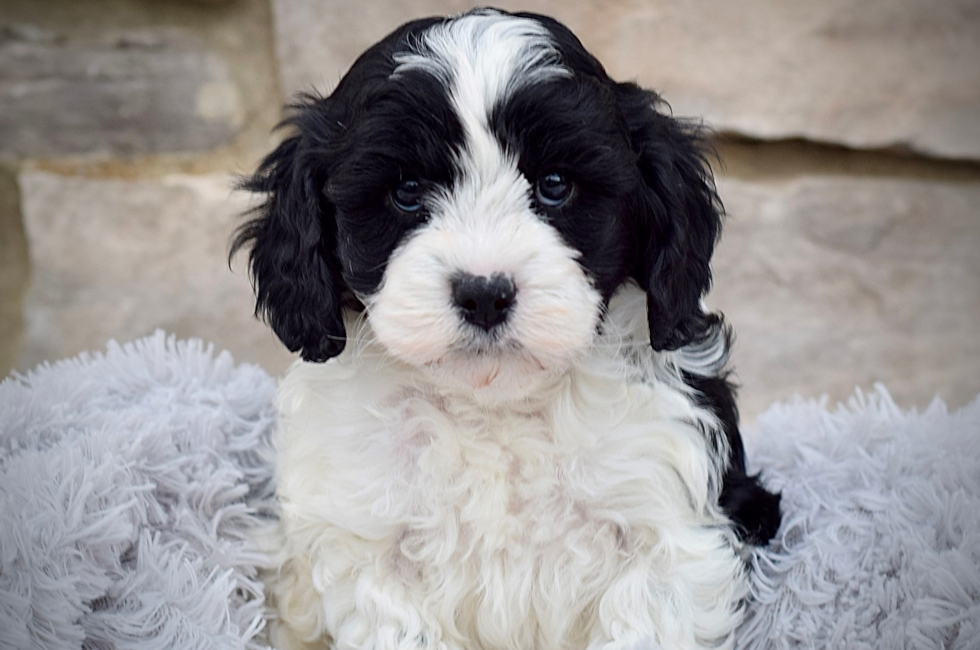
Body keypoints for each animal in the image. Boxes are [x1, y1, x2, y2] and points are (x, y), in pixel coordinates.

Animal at [237, 8, 780, 648]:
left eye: (555, 184)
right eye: (406, 191)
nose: (484, 293)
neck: (492, 408)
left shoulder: (669, 525)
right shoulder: (371, 544)